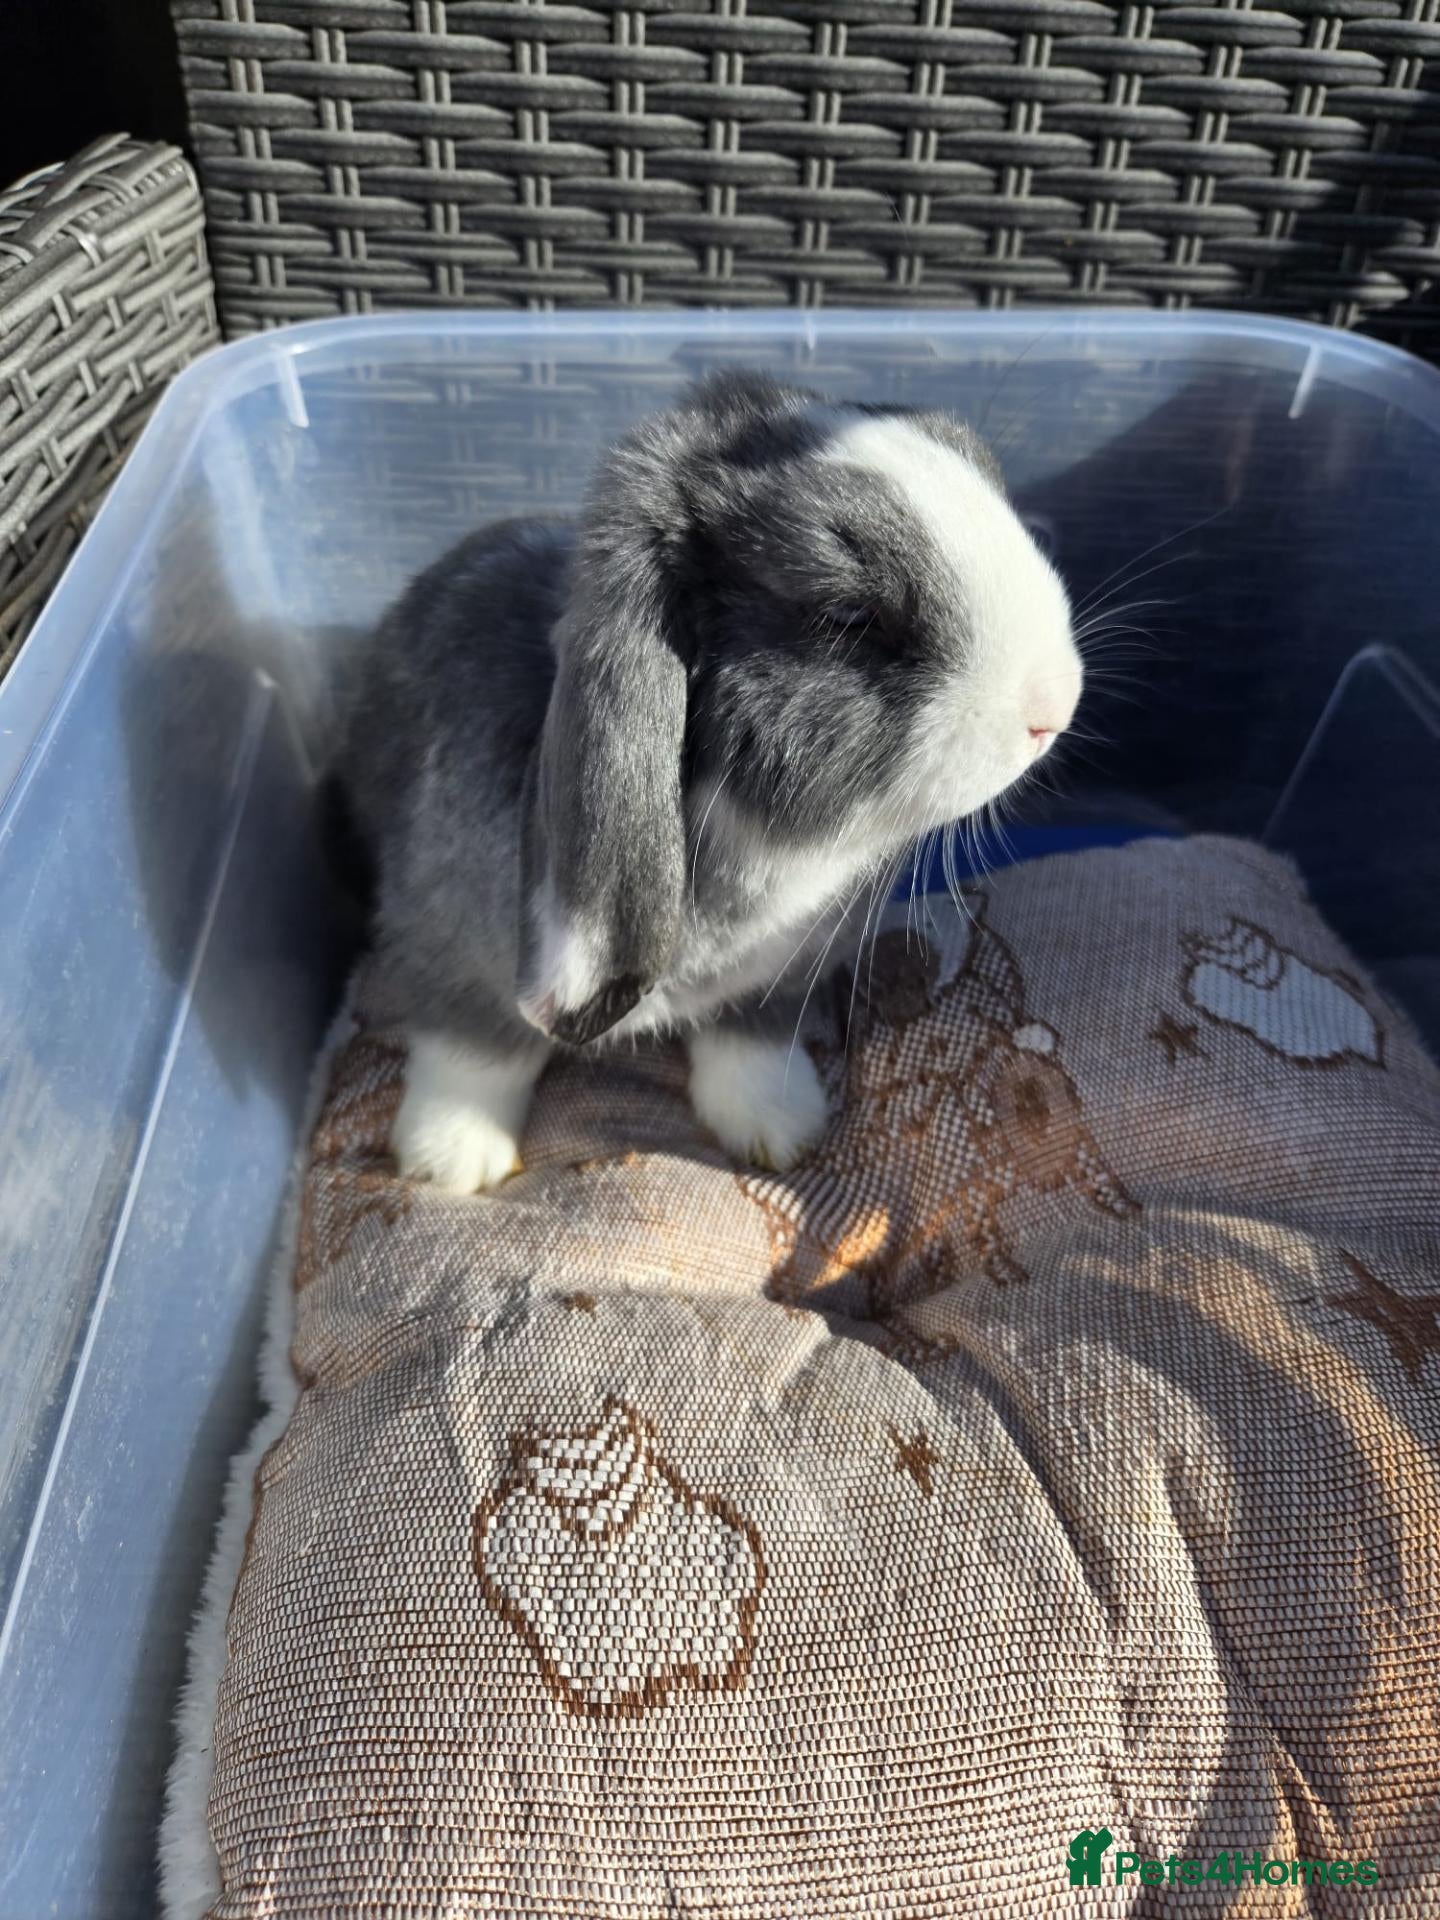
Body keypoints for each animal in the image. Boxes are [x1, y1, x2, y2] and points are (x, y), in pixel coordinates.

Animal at [330, 370, 1083, 1193]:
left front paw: (781, 1130)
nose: (1054, 705)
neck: (745, 831)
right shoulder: (451, 954)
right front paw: (449, 1161)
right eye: (848, 617)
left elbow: (752, 1040)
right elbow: (476, 1051)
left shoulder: (778, 980)